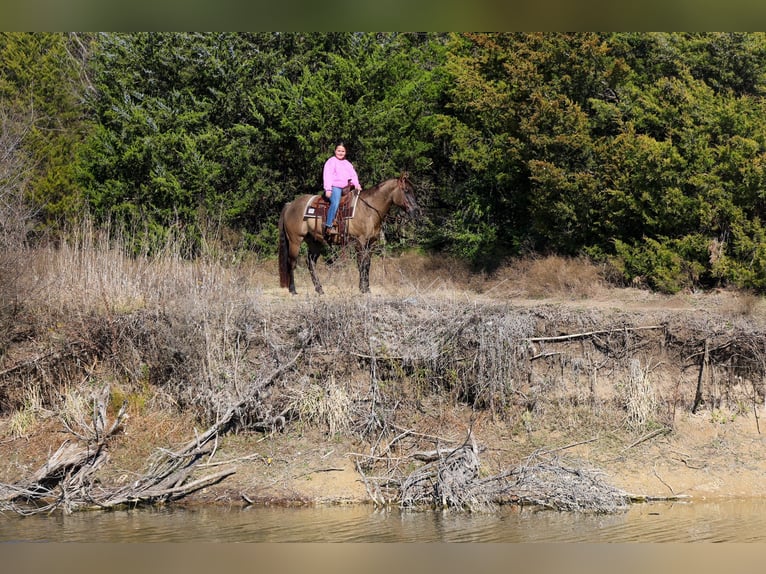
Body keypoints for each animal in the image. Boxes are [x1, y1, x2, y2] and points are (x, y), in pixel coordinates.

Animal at [278, 173, 420, 294]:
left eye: (413, 190)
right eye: (406, 190)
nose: (416, 212)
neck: (368, 210)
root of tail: (290, 205)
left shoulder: (371, 243)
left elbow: (367, 264)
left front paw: (367, 288)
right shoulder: (360, 242)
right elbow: (361, 263)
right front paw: (363, 288)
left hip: (315, 241)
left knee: (310, 262)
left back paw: (319, 289)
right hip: (295, 241)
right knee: (292, 262)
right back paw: (293, 290)